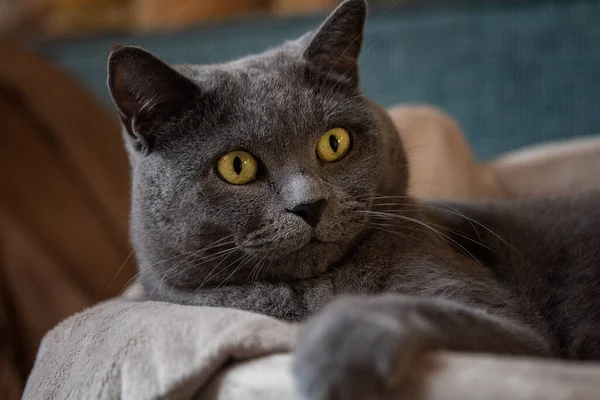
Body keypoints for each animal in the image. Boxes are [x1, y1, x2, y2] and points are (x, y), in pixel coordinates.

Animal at [106, 1, 600, 398]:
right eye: (237, 166)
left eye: (334, 142)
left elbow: (387, 304)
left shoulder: (514, 330)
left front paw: (329, 367)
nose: (309, 205)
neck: (310, 293)